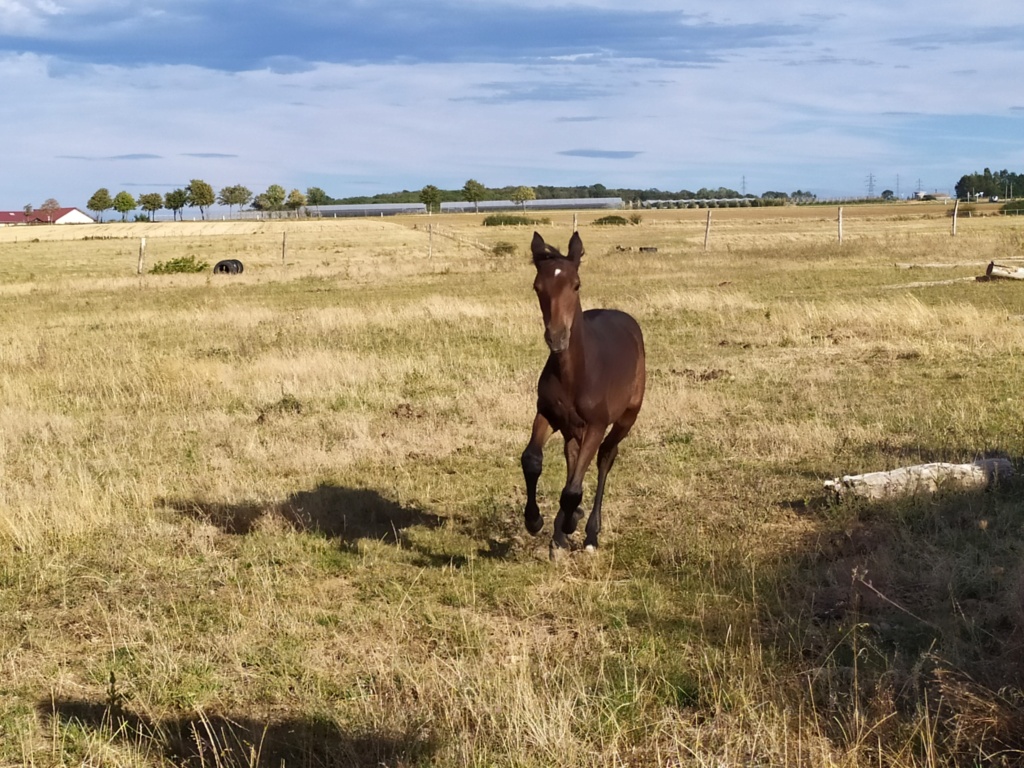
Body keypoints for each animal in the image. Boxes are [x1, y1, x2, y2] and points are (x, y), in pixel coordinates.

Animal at [520, 230, 647, 561]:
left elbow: (573, 489)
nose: (557, 337)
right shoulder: (547, 414)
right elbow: (532, 460)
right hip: (571, 427)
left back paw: (589, 532)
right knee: (573, 456)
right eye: (537, 287)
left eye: (576, 284)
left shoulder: (596, 425)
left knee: (605, 458)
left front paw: (569, 523)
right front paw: (535, 521)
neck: (575, 374)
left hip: (626, 418)